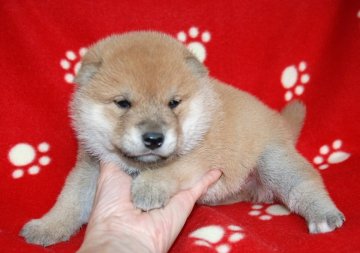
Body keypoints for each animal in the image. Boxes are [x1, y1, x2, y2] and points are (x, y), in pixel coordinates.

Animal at [21, 31, 344, 245]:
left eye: (173, 103)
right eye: (123, 103)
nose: (154, 138)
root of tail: (279, 121)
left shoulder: (198, 158)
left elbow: (170, 168)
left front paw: (148, 188)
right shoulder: (89, 167)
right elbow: (71, 200)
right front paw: (46, 227)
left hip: (275, 161)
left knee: (305, 185)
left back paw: (323, 215)